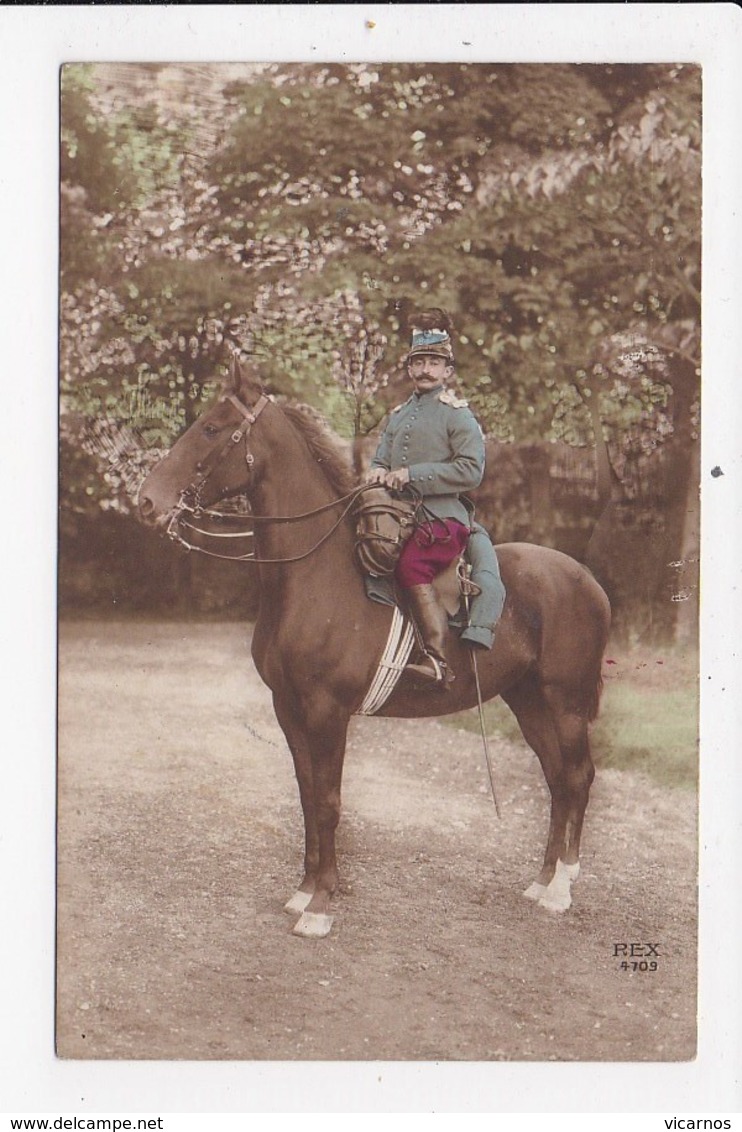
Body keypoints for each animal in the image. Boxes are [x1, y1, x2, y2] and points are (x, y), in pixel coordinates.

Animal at [137, 359, 611, 937]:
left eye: (210, 428)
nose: (147, 501)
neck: (314, 575)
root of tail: (586, 578)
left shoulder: (327, 712)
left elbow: (329, 802)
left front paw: (320, 907)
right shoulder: (288, 709)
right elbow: (307, 795)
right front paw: (305, 891)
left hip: (565, 703)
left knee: (578, 777)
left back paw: (562, 888)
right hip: (528, 702)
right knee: (557, 780)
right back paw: (541, 883)